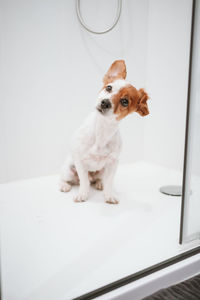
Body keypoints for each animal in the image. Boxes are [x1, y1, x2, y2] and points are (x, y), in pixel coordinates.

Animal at [59, 59, 148, 203]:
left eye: (124, 102)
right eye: (109, 88)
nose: (105, 102)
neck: (102, 130)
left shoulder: (113, 163)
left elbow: (110, 182)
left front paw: (109, 194)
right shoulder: (79, 160)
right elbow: (84, 181)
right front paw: (82, 194)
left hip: (102, 170)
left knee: (100, 180)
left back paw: (100, 183)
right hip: (68, 169)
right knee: (64, 178)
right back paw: (64, 185)